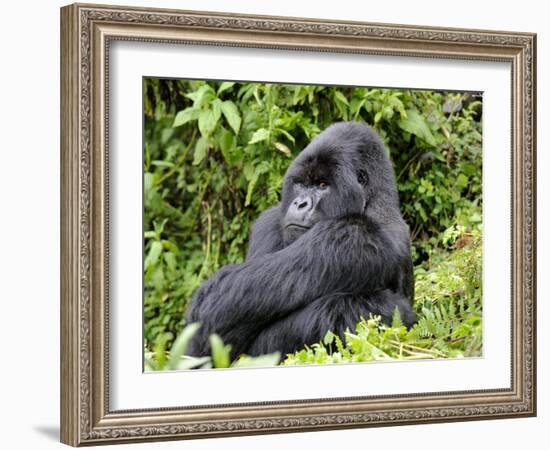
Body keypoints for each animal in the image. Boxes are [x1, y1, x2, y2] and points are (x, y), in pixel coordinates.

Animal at [188, 121, 416, 360]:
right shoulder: (270, 220)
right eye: (301, 184)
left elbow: (219, 304)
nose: (300, 203)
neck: (375, 203)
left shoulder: (352, 235)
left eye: (323, 184)